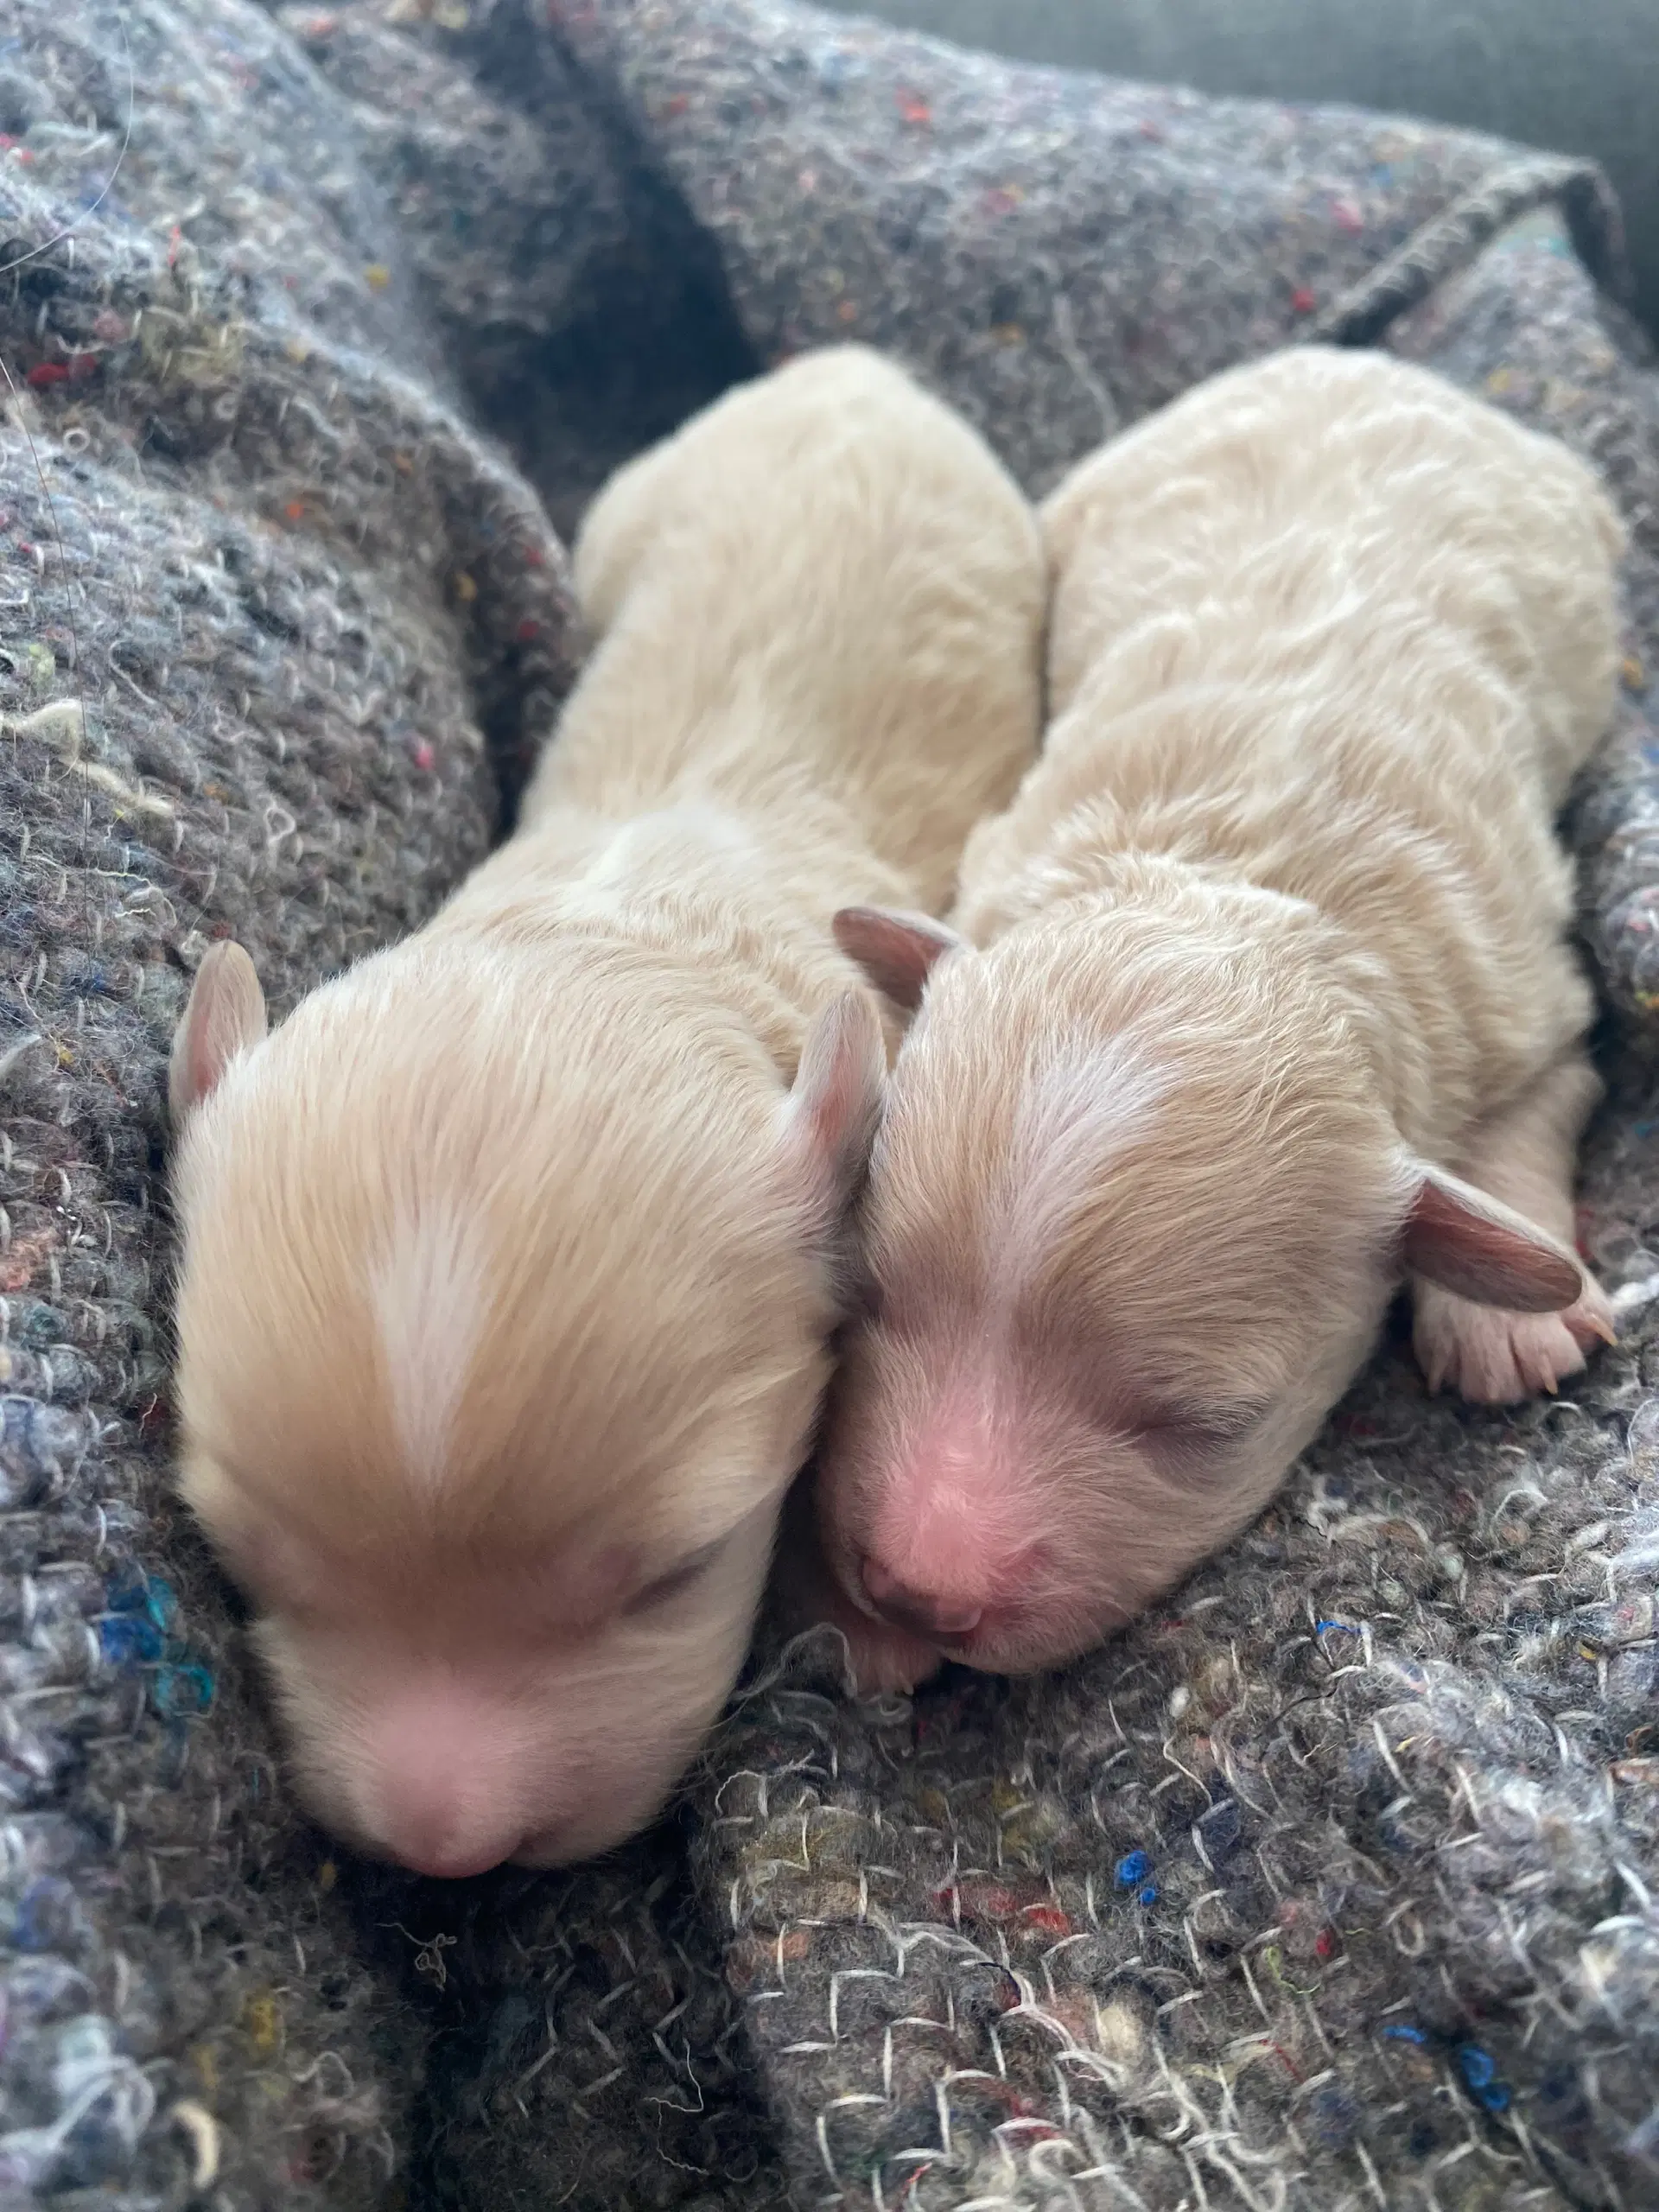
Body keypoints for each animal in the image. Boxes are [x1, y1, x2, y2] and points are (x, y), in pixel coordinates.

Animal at [814, 345, 1628, 1689]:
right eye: (868, 1297)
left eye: (1200, 1422)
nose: (924, 1589)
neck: (1233, 877)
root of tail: (1367, 362)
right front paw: (866, 1629)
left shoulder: (1527, 984)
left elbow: (1541, 1092)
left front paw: (1513, 1318)